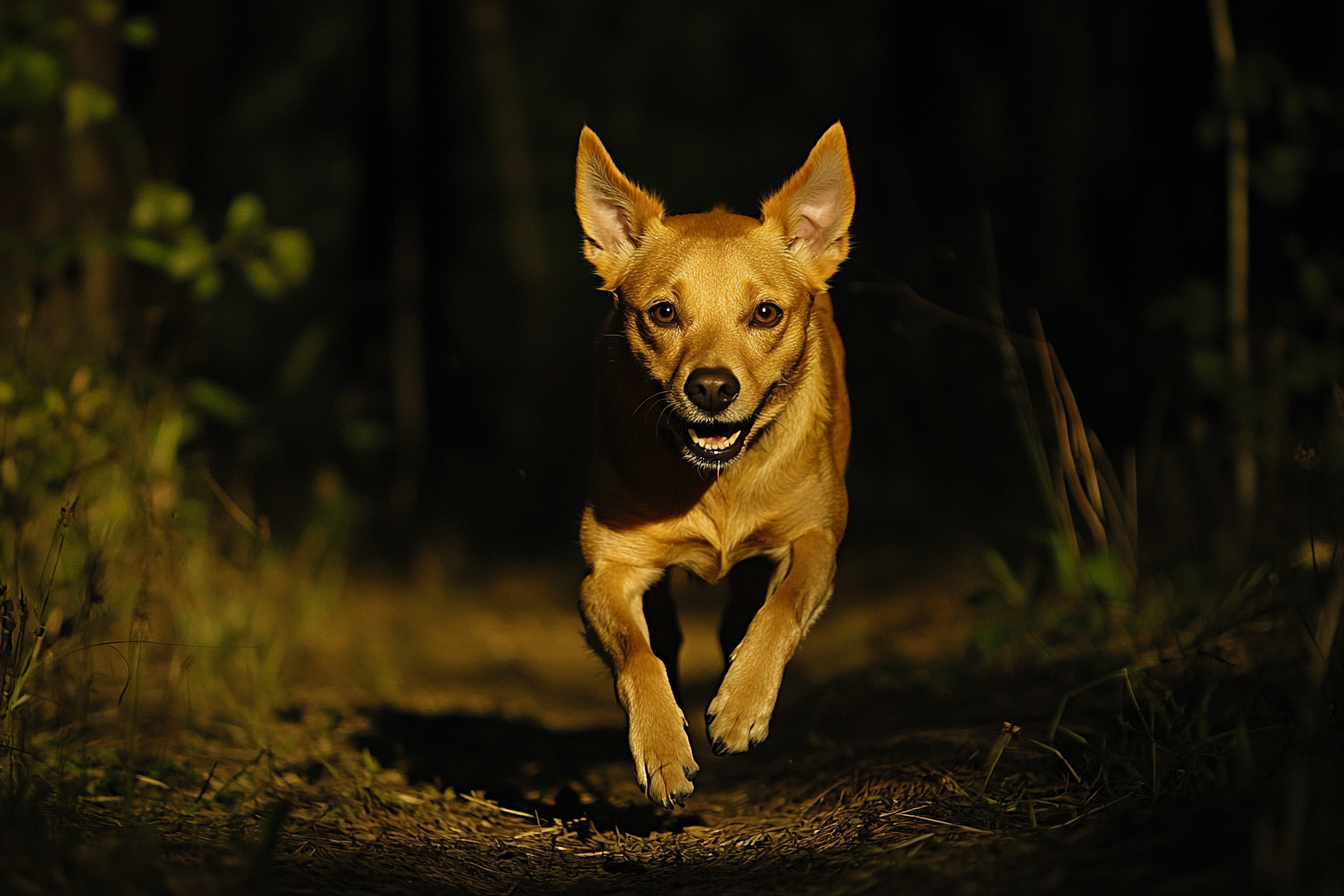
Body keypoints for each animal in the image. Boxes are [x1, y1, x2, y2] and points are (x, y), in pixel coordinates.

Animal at [575, 124, 849, 805]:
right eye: (664, 313)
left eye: (766, 313)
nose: (712, 387)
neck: (715, 483)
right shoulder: (606, 573)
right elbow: (637, 653)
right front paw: (663, 747)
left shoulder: (817, 538)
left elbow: (783, 607)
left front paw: (741, 704)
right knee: (663, 636)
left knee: (747, 610)